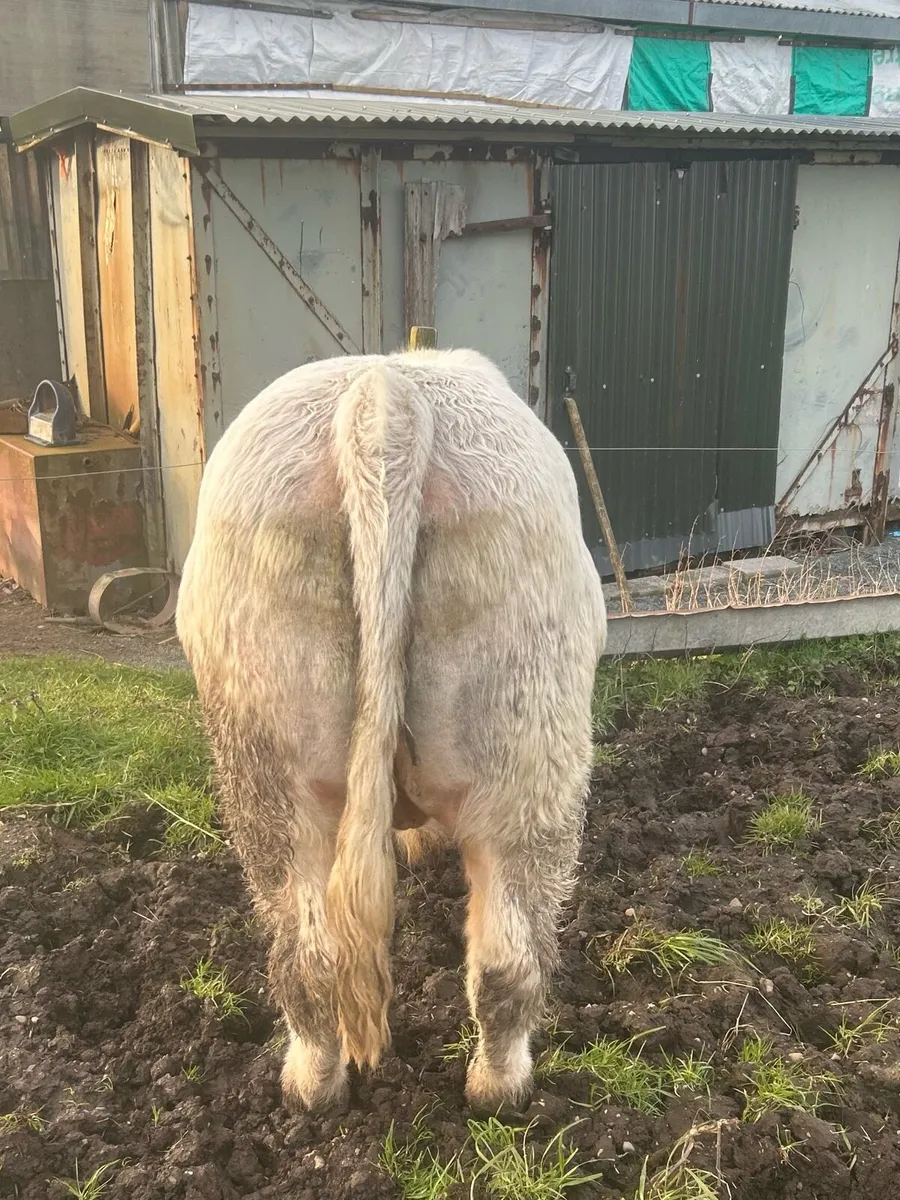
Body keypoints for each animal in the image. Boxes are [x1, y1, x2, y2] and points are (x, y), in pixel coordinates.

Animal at [176, 348, 606, 1112]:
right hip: (534, 749)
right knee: (510, 953)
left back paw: (314, 1091)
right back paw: (500, 1090)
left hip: (269, 765)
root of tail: (385, 390)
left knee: (312, 956)